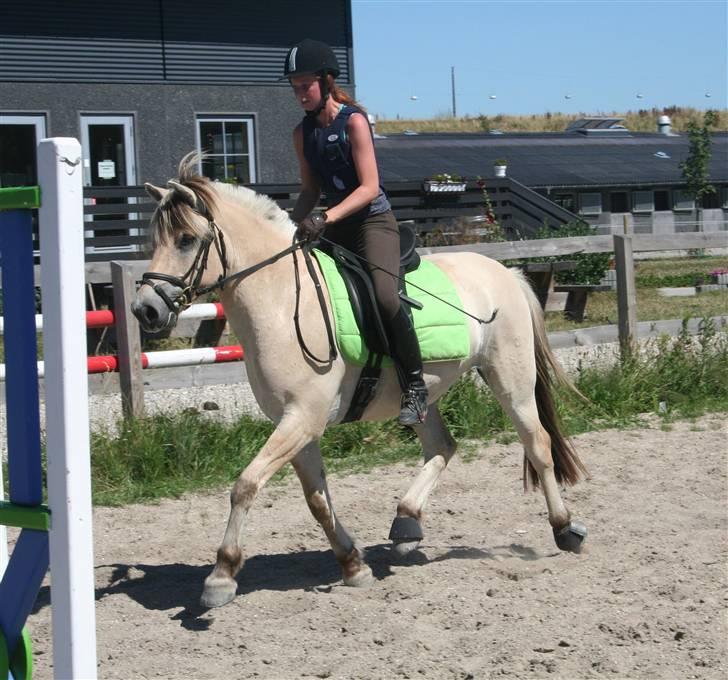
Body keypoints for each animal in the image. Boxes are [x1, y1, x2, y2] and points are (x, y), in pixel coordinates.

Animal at [131, 157, 588, 608]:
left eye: (187, 240)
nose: (145, 310)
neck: (280, 302)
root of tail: (507, 273)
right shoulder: (296, 426)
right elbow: (317, 500)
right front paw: (353, 564)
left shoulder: (302, 419)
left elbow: (245, 485)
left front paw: (222, 574)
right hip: (424, 396)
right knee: (442, 446)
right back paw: (406, 525)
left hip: (510, 379)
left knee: (538, 444)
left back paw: (565, 529)